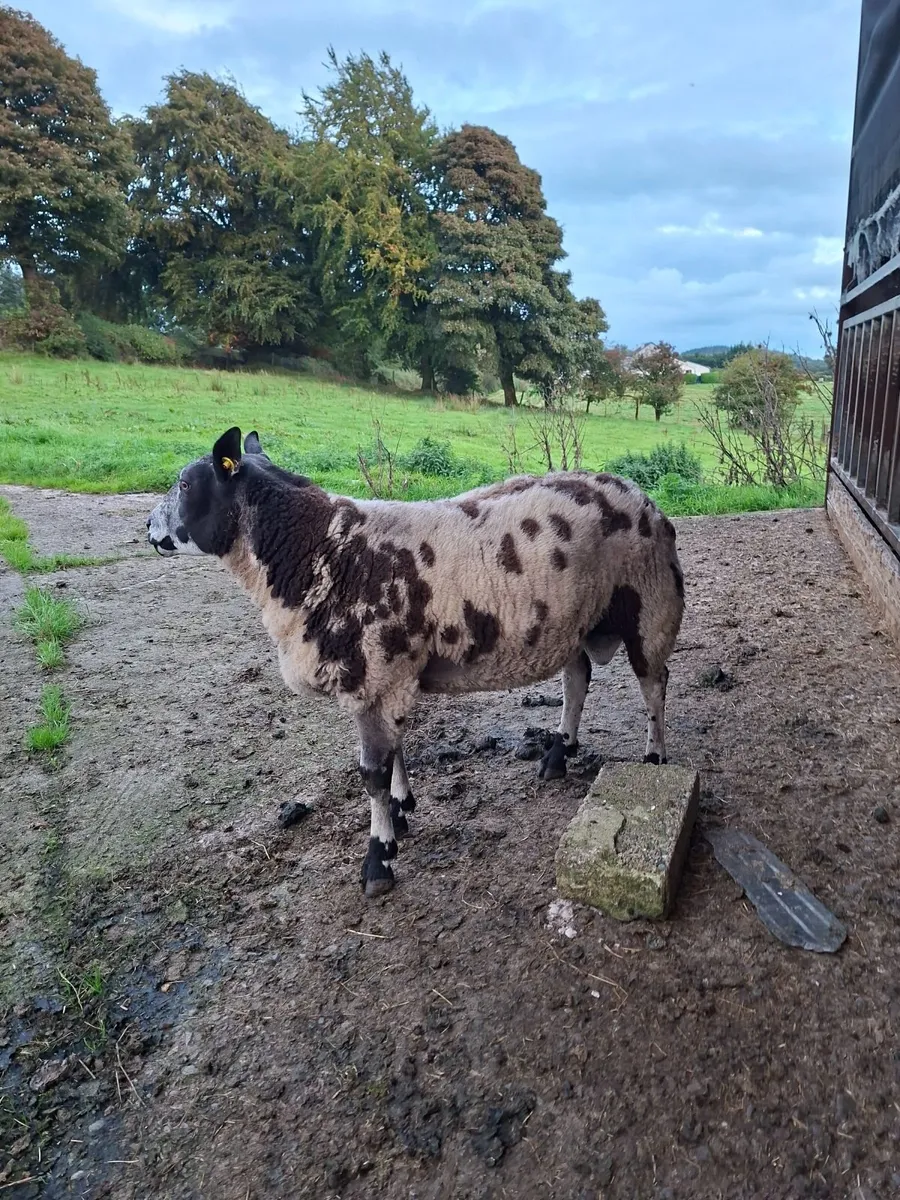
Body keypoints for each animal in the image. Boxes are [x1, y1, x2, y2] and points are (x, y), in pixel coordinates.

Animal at [147, 427, 685, 897]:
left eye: (185, 483)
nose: (148, 527)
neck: (318, 551)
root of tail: (645, 499)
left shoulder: (374, 674)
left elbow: (371, 773)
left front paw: (378, 860)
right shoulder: (387, 675)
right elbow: (394, 752)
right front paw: (402, 809)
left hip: (651, 602)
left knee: (654, 682)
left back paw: (654, 758)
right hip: (571, 620)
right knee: (578, 679)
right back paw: (557, 754)